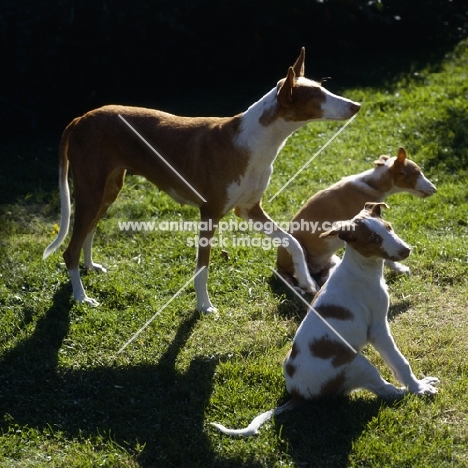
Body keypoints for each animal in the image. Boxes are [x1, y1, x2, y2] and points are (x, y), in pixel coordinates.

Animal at [43, 47, 358, 312]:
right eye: (317, 97)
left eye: (324, 87)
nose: (356, 105)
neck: (254, 142)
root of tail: (80, 118)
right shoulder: (210, 213)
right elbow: (202, 269)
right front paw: (204, 306)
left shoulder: (249, 210)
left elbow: (292, 242)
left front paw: (306, 280)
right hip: (91, 191)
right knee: (69, 249)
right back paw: (81, 297)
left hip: (108, 190)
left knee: (88, 232)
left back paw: (90, 267)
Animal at [212, 203, 438, 436]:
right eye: (374, 239)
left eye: (389, 227)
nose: (406, 250)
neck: (361, 270)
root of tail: (298, 395)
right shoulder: (378, 330)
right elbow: (400, 362)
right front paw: (417, 387)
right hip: (357, 364)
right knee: (386, 391)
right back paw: (413, 390)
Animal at [276, 148, 436, 290]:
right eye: (418, 173)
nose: (435, 189)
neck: (372, 184)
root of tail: (277, 264)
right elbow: (386, 254)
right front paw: (399, 268)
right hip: (296, 249)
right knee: (292, 278)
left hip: (331, 262)